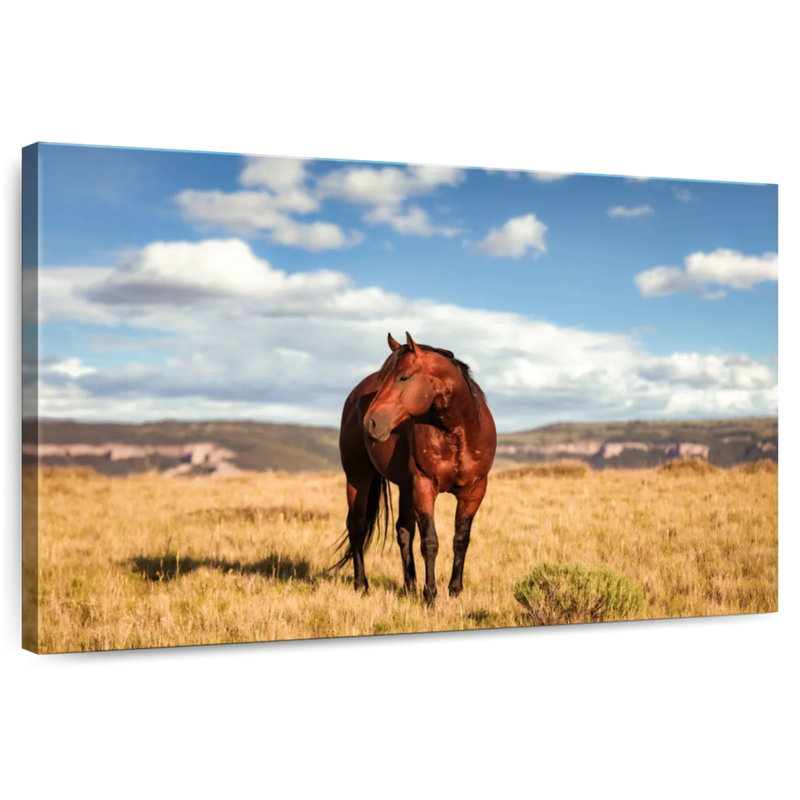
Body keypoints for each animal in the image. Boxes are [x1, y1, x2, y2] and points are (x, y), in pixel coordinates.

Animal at [336, 332, 496, 603]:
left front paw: (455, 590)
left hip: (405, 487)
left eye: (403, 377)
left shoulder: (474, 491)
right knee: (357, 526)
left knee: (403, 531)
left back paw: (408, 587)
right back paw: (362, 585)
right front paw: (430, 595)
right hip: (358, 477)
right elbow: (430, 542)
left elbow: (461, 540)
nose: (371, 423)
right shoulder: (424, 487)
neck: (458, 432)